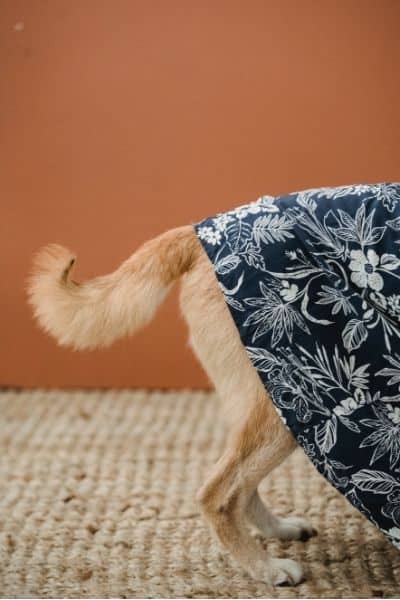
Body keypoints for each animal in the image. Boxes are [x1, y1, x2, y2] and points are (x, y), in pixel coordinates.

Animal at [28, 182, 400, 586]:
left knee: (242, 488)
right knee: (219, 494)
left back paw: (277, 531)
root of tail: (199, 231)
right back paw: (265, 567)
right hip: (290, 404)